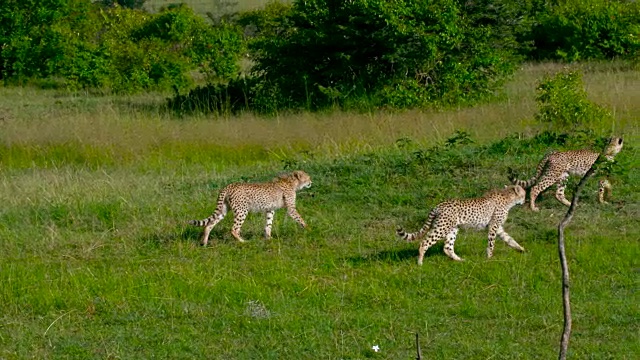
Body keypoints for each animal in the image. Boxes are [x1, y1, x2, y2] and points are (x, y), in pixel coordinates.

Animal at [398, 186, 528, 264]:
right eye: (524, 193)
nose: (525, 201)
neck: (508, 196)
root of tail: (438, 205)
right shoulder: (493, 226)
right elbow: (491, 244)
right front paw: (489, 258)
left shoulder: (498, 227)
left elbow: (510, 239)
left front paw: (521, 249)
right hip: (442, 228)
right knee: (424, 242)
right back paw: (420, 263)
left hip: (452, 229)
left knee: (447, 247)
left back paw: (460, 260)